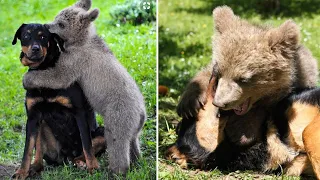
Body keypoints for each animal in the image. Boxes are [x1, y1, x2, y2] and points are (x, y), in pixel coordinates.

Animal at [10, 23, 106, 179]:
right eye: (26, 35)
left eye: (43, 36)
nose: (35, 48)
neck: (43, 72)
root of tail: (66, 158)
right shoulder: (33, 117)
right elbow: (27, 149)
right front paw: (21, 172)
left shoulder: (79, 112)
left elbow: (87, 144)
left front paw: (93, 167)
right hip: (42, 127)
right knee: (39, 154)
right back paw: (34, 167)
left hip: (102, 132)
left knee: (82, 151)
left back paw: (81, 162)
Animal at [23, 0, 146, 176]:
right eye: (56, 17)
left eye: (61, 24)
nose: (47, 25)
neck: (80, 41)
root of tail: (141, 114)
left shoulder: (75, 60)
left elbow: (59, 76)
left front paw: (28, 79)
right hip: (134, 125)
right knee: (133, 140)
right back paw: (136, 161)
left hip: (119, 114)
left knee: (116, 140)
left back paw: (116, 170)